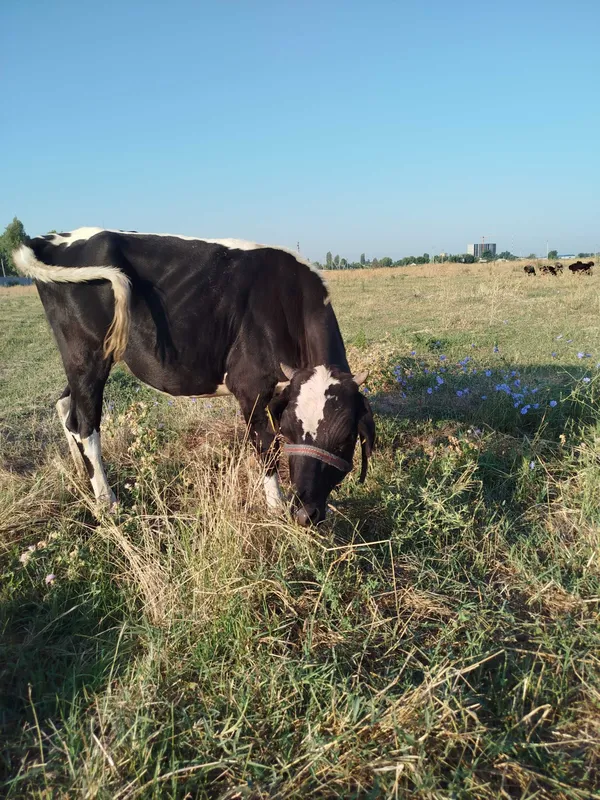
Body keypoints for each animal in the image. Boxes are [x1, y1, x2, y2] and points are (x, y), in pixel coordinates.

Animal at [14, 228, 375, 526]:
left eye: (344, 440)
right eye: (290, 431)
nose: (304, 513)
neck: (288, 301)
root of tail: (51, 238)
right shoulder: (250, 385)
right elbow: (265, 447)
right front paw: (274, 508)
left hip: (84, 360)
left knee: (67, 407)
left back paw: (80, 472)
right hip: (87, 355)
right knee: (85, 422)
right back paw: (107, 502)